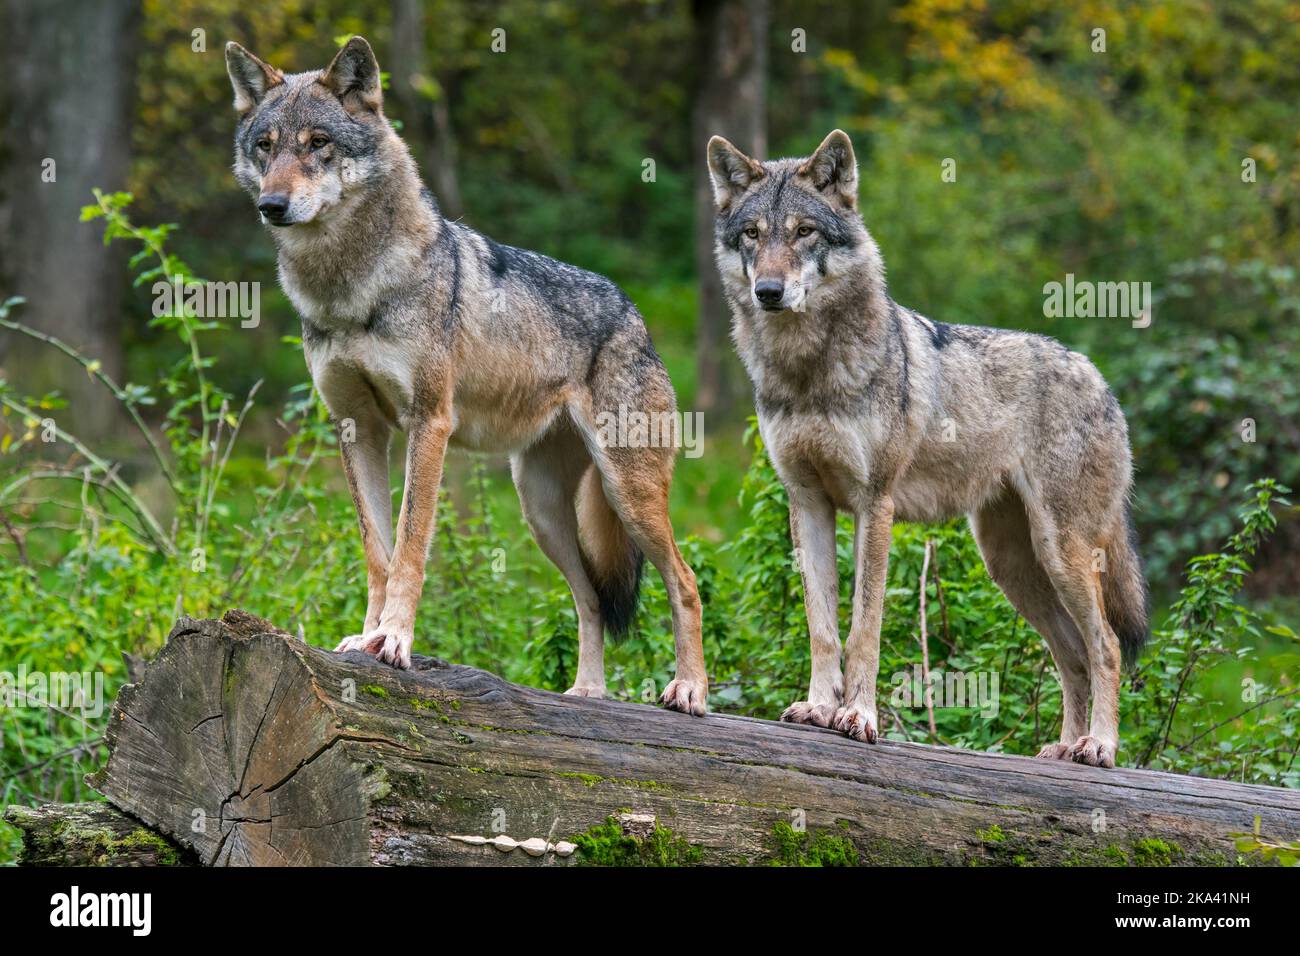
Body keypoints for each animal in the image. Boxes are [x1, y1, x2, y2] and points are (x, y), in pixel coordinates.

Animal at [227, 35, 707, 717]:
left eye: (318, 143)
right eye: (265, 146)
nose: (272, 205)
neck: (349, 287)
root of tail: (635, 313)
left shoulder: (429, 423)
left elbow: (409, 548)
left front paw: (394, 641)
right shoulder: (357, 429)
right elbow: (377, 553)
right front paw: (364, 638)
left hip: (627, 492)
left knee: (685, 583)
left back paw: (690, 690)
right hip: (541, 511)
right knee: (590, 597)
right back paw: (587, 694)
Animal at [712, 128, 1149, 770]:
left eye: (804, 231)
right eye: (752, 234)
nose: (769, 291)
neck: (807, 370)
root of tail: (1099, 377)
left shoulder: (875, 505)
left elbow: (864, 626)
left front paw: (858, 716)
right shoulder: (808, 502)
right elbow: (822, 627)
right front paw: (817, 708)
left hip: (1061, 553)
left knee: (1108, 645)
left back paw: (1100, 746)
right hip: (1012, 565)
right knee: (1071, 654)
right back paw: (1062, 749)